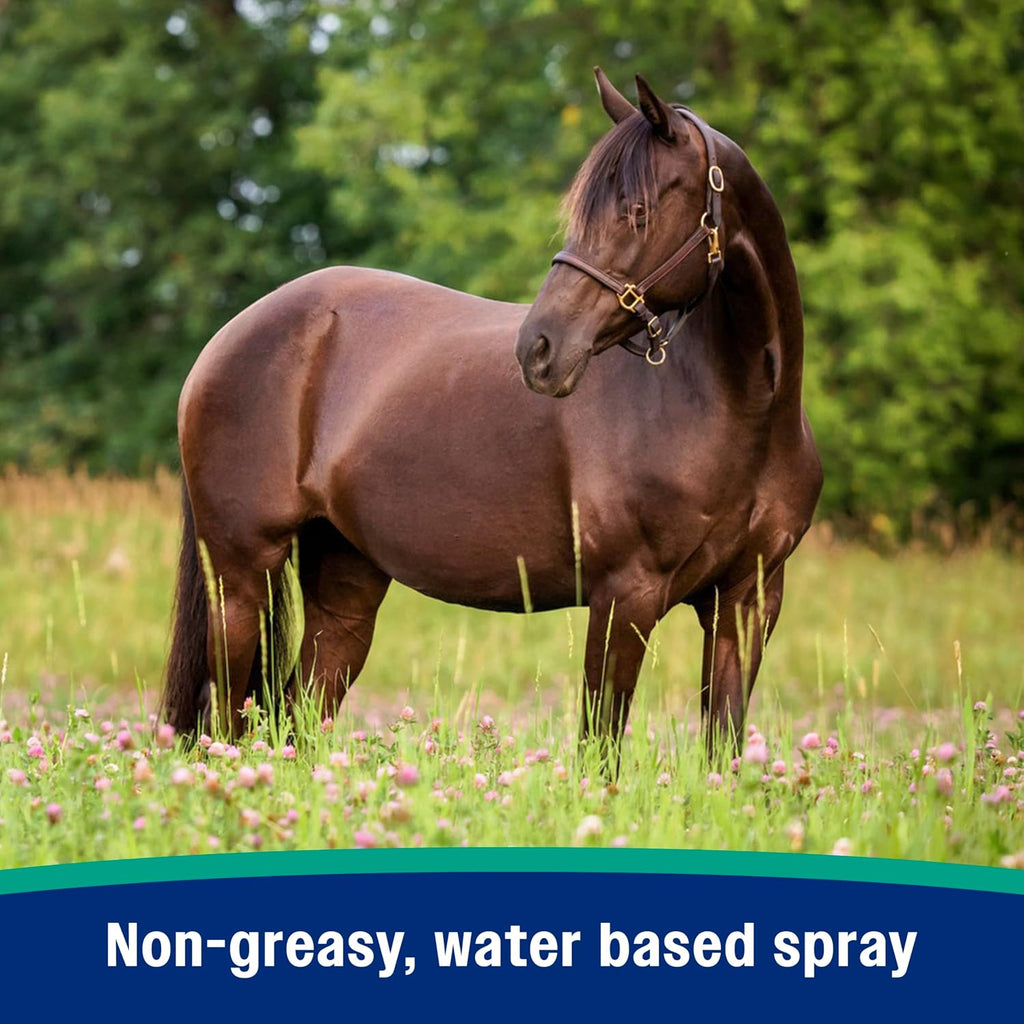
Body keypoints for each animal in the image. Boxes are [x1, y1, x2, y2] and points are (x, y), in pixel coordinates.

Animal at [161, 69, 822, 760]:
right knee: (225, 723)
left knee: (299, 716)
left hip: (345, 586)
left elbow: (724, 744)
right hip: (241, 580)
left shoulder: (746, 603)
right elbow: (600, 748)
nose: (540, 348)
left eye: (638, 212)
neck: (740, 413)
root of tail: (225, 341)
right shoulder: (626, 596)